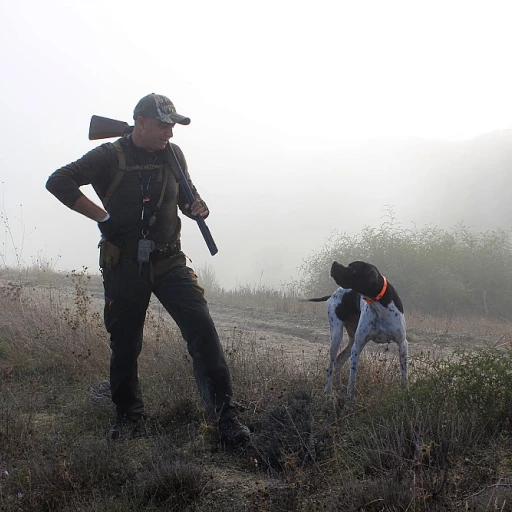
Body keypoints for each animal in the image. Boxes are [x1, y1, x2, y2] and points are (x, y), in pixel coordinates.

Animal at [306, 262, 410, 398]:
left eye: (353, 269)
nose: (334, 263)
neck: (379, 304)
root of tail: (332, 294)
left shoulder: (402, 345)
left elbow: (404, 376)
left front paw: (405, 393)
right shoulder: (357, 347)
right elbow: (352, 379)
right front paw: (350, 398)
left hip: (351, 340)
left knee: (339, 360)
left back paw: (338, 385)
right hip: (337, 337)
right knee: (331, 366)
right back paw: (328, 391)